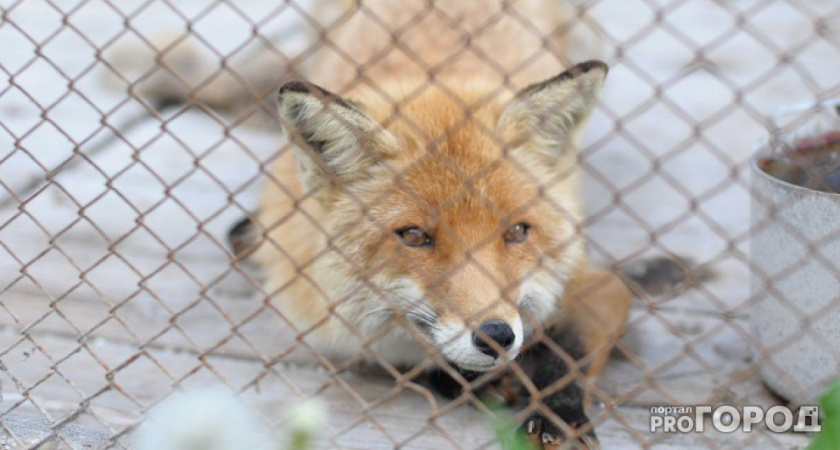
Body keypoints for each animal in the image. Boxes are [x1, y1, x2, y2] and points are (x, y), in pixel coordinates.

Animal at [223, 1, 632, 448]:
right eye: (415, 236)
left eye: (517, 232)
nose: (496, 336)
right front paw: (468, 380)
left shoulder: (597, 282)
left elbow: (568, 354)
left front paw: (558, 414)